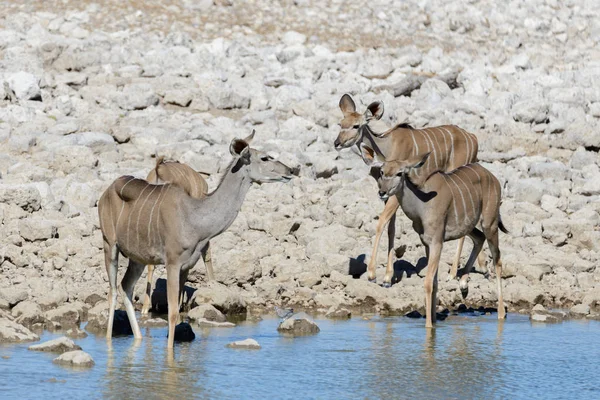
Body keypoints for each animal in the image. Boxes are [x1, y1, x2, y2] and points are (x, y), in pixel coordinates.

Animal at [336, 94, 480, 288]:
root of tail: (473, 137)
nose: (337, 143)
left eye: (356, 125)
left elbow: (381, 223)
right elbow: (391, 228)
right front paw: (387, 277)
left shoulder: (395, 194)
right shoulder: (386, 193)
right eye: (341, 123)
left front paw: (373, 274)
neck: (385, 147)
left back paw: (452, 275)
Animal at [360, 144, 506, 328]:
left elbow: (428, 282)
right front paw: (434, 320)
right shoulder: (427, 243)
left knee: (497, 260)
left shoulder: (437, 242)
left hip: (490, 223)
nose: (382, 192)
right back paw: (463, 284)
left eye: (400, 173)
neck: (422, 205)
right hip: (470, 226)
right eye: (382, 171)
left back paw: (501, 313)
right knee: (479, 238)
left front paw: (429, 325)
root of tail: (493, 178)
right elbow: (435, 282)